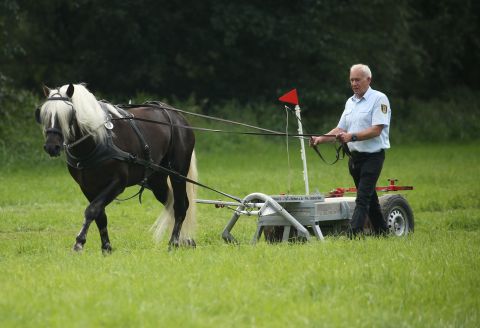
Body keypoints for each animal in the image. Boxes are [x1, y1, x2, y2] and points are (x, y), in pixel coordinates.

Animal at [34, 83, 198, 252]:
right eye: (44, 114)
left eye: (67, 114)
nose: (51, 146)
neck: (96, 141)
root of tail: (177, 116)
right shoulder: (87, 187)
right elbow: (100, 215)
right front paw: (106, 247)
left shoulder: (118, 183)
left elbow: (92, 210)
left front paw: (79, 242)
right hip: (157, 179)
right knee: (170, 203)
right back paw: (186, 240)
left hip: (178, 173)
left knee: (180, 206)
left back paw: (174, 242)